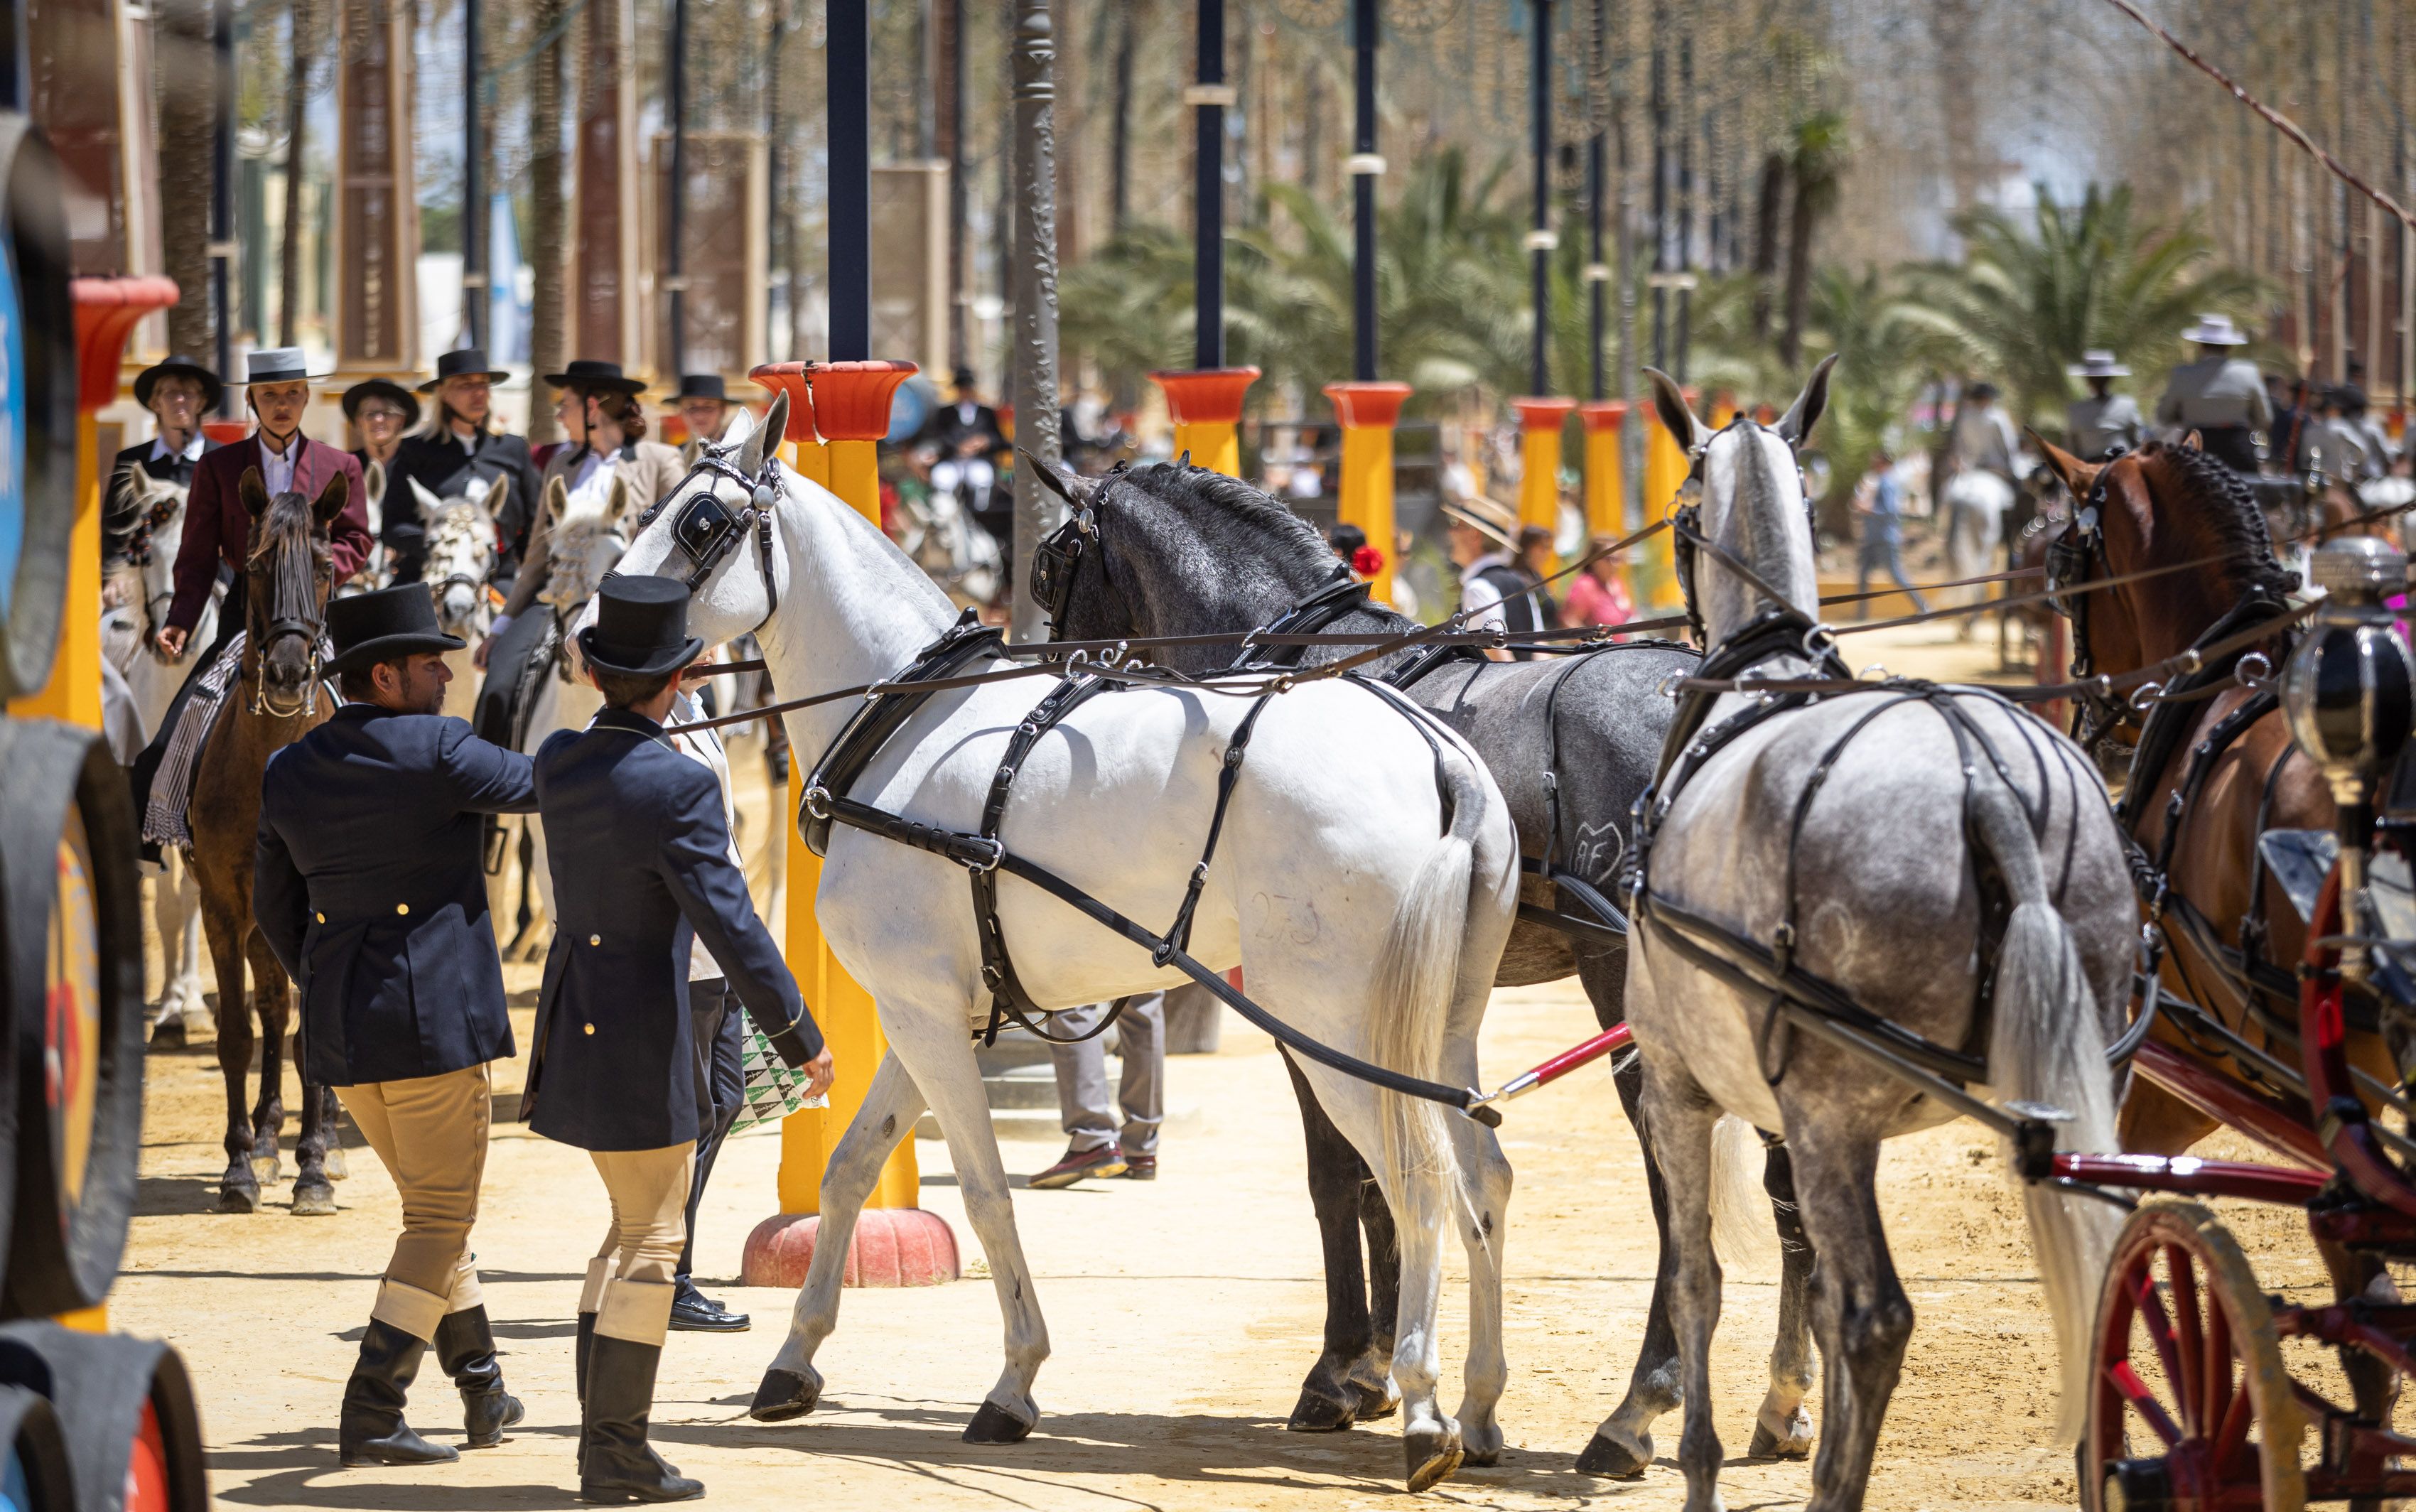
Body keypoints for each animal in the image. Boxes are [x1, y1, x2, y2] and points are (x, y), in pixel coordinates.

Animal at [594, 395, 1520, 1491]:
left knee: (1415, 1181)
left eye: (698, 523)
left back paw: (1421, 1407)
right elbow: (851, 1169)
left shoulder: (924, 1016)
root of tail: (1435, 751)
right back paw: (1481, 1403)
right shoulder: (931, 1015)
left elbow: (986, 1192)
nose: (591, 634)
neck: (904, 721)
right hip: (1440, 1029)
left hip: (1336, 1029)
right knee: (1481, 1179)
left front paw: (1013, 1383)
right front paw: (794, 1361)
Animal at [1038, 458, 1821, 1471]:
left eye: (1050, 567)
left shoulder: (1312, 1016)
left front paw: (1342, 1370)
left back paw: (1635, 1410)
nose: (1061, 683)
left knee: (1676, 1193)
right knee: (1787, 1184)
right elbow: (1387, 1179)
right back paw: (1785, 1397)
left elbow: (1342, 1176)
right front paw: (1383, 1367)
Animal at [1628, 367, 2131, 1511]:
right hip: (2078, 1082)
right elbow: (1800, 1280)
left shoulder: (1678, 1086)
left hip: (1833, 1115)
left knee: (1875, 1318)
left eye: (1677, 510)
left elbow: (1699, 1277)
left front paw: (1702, 1459)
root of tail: (1984, 782)